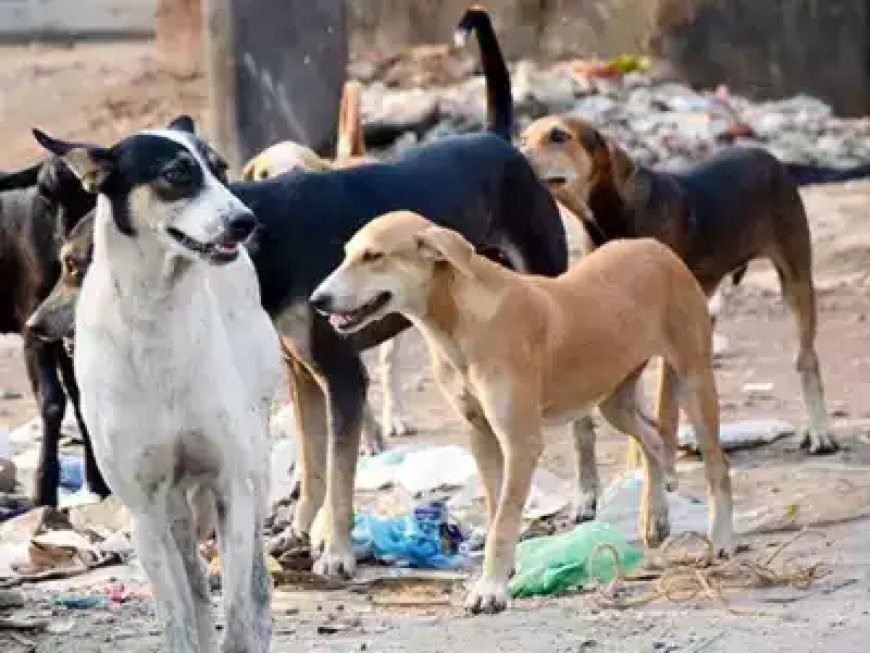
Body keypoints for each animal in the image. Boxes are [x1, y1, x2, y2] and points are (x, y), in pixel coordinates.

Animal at [0, 157, 108, 504]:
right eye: (45, 195)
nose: (69, 251)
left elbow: (81, 398)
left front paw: (98, 483)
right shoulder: (32, 325)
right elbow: (52, 401)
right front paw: (43, 489)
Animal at [33, 118, 282, 652]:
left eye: (221, 169)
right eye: (176, 174)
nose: (246, 221)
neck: (157, 318)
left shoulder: (232, 486)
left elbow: (238, 613)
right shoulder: (145, 509)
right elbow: (178, 615)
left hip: (254, 465)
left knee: (255, 586)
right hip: (172, 509)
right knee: (195, 587)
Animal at [314, 211, 736, 612]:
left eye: (374, 256)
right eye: (347, 254)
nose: (318, 301)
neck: (460, 322)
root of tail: (656, 247)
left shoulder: (521, 441)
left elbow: (504, 520)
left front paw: (491, 591)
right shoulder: (481, 434)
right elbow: (496, 507)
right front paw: (503, 573)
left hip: (695, 380)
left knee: (717, 466)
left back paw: (721, 540)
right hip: (613, 399)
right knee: (651, 438)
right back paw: (656, 516)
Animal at [520, 114, 840, 468]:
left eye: (559, 136)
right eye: (523, 138)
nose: (516, 155)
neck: (612, 215)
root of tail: (766, 155)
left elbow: (662, 410)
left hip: (795, 280)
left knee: (806, 359)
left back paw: (820, 432)